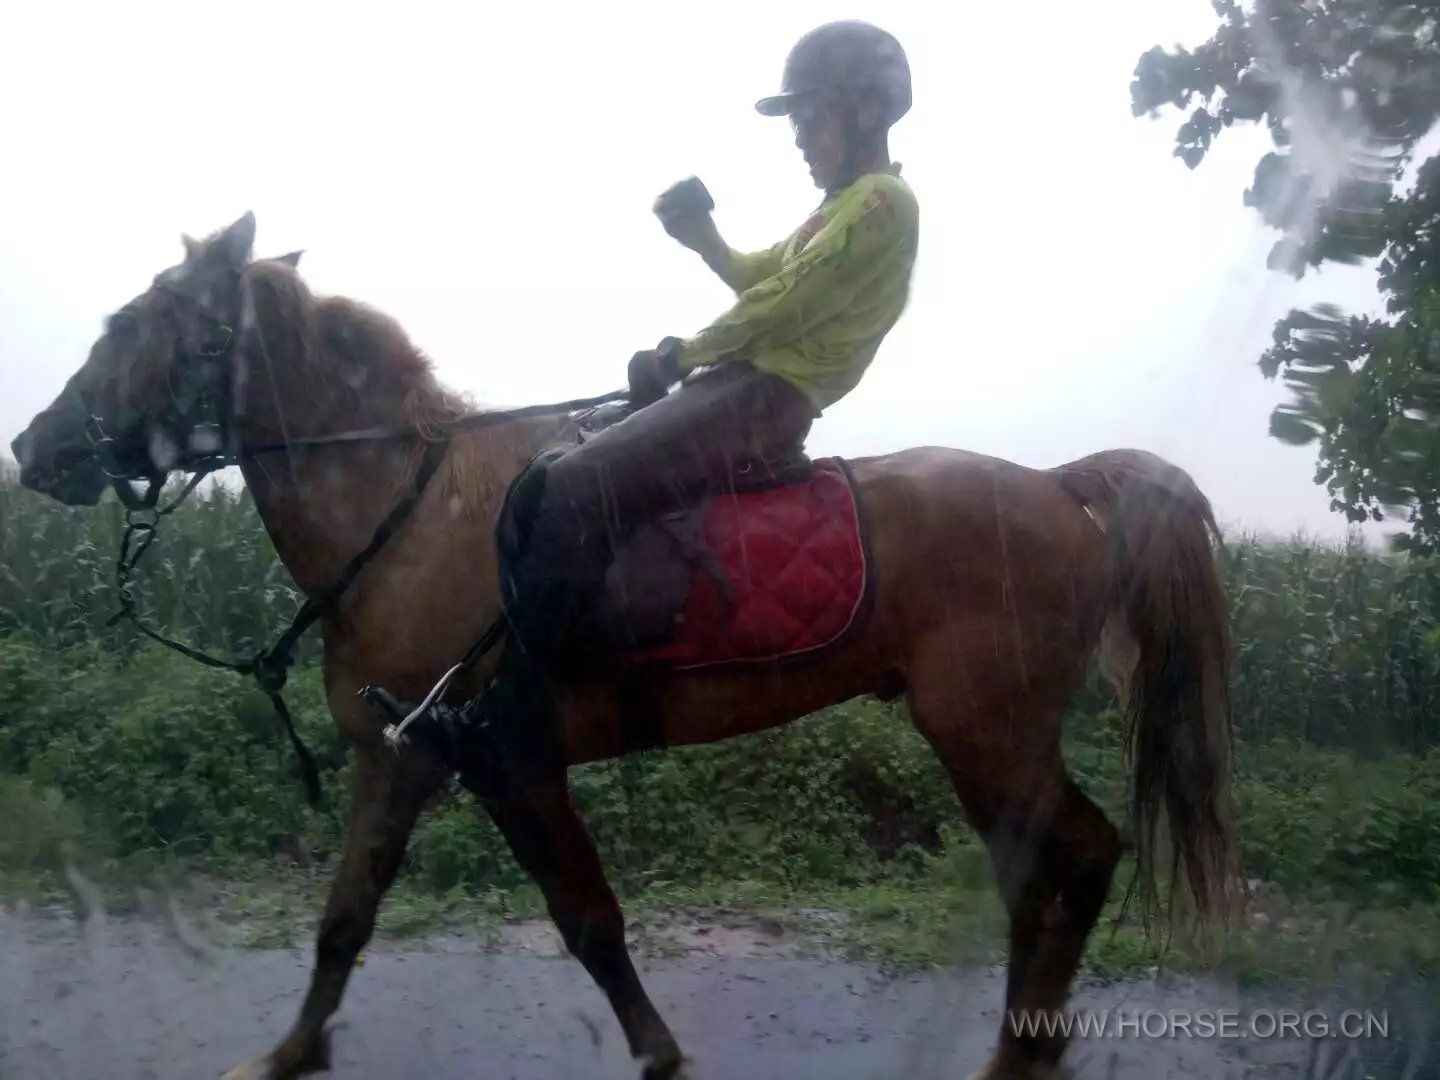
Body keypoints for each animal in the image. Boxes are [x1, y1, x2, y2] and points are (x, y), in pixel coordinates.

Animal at [8, 211, 1238, 1080]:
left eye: (132, 325)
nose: (34, 445)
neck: (409, 520)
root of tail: (1063, 487)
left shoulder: (510, 761)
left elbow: (591, 924)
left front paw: (659, 1053)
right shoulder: (398, 760)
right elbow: (344, 917)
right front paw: (287, 1054)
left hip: (986, 730)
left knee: (1067, 865)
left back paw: (1019, 1053)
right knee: (1058, 872)